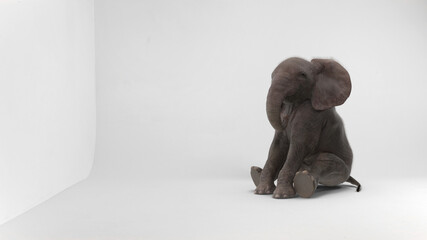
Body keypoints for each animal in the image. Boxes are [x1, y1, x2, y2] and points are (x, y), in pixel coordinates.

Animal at [252, 56, 362, 199]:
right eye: (271, 76)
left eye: (302, 75)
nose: (284, 121)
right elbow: (277, 146)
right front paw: (261, 192)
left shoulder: (312, 114)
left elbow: (299, 145)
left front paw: (282, 196)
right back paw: (255, 173)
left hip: (341, 170)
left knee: (324, 160)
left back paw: (305, 183)